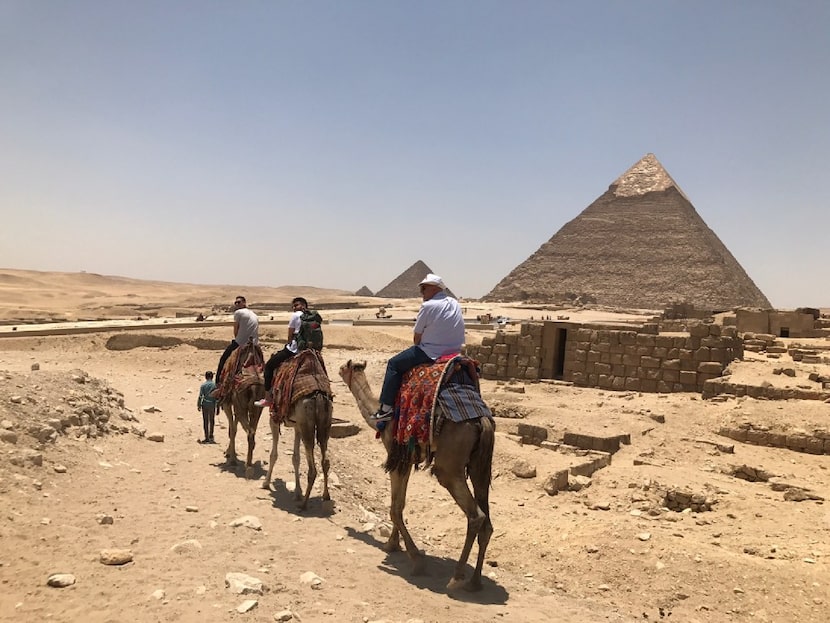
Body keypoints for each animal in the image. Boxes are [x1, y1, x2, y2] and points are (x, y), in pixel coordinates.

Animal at [340, 358, 498, 592]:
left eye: (345, 367)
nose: (339, 370)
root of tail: (482, 421)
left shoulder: (396, 456)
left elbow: (395, 508)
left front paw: (415, 560)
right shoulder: (406, 458)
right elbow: (399, 504)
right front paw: (391, 544)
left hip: (449, 466)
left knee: (475, 515)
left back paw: (456, 577)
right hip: (479, 466)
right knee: (486, 519)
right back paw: (475, 582)